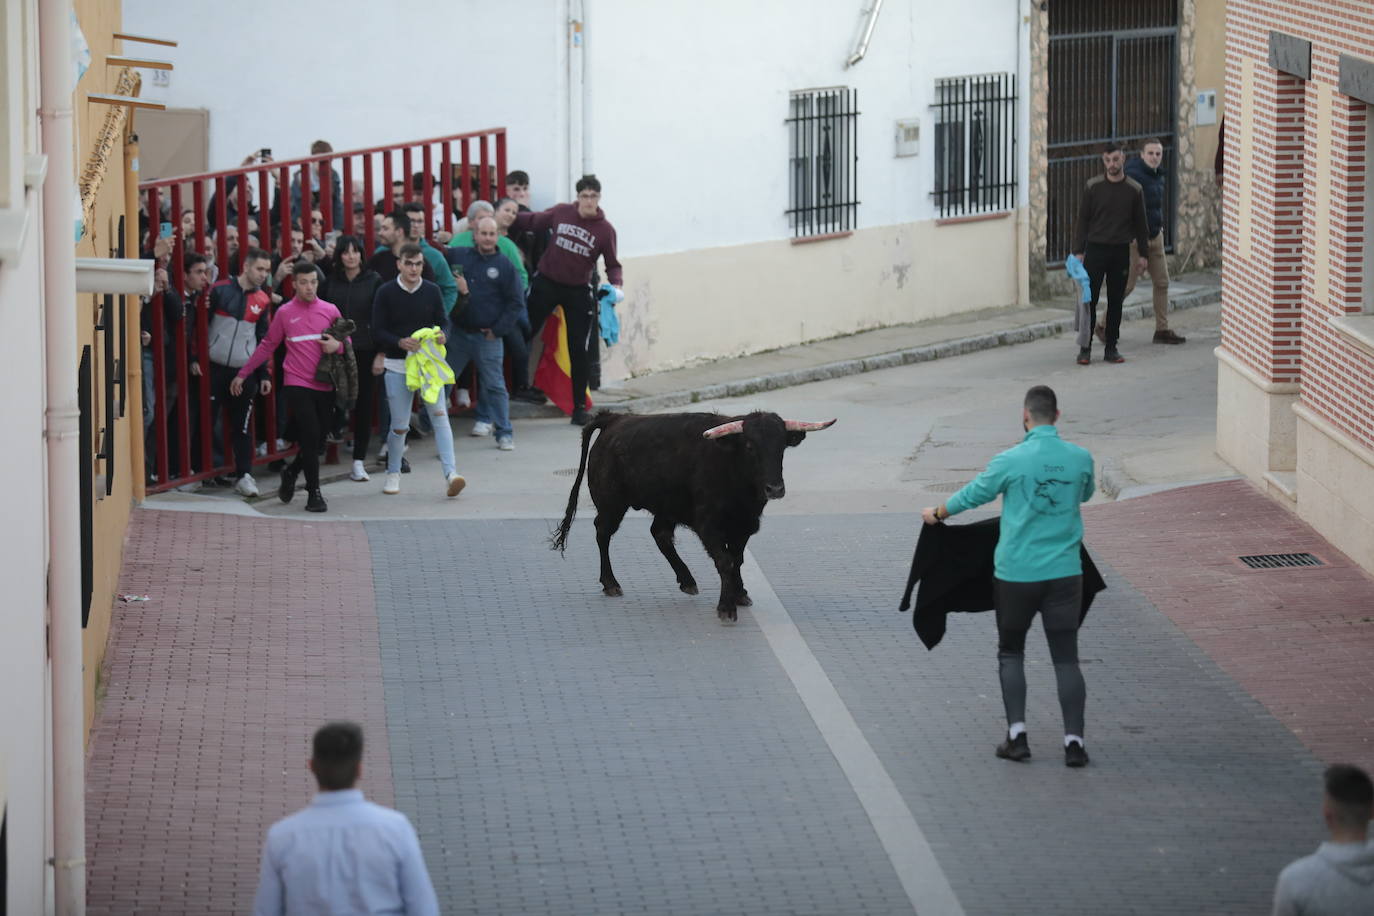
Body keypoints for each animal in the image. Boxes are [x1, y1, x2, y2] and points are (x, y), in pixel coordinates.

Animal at [549, 414, 829, 623]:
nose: (775, 488)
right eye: (750, 446)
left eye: (782, 447)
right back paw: (610, 583)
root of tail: (615, 419)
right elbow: (725, 561)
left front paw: (739, 594)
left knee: (659, 534)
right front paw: (726, 608)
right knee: (603, 533)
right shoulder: (709, 525)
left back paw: (687, 580)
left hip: (666, 506)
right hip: (612, 503)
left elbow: (736, 560)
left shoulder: (745, 525)